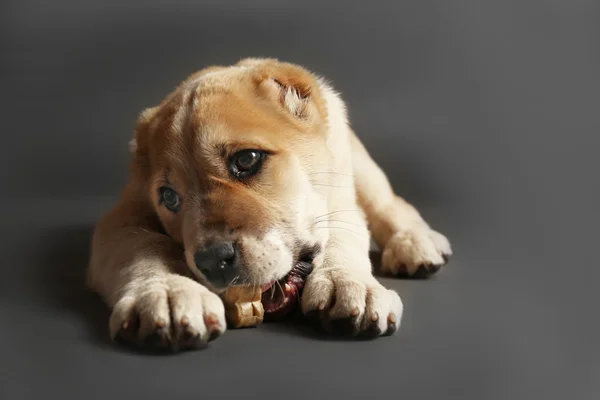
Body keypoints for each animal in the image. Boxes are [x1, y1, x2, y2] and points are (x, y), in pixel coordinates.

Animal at [86, 57, 452, 350]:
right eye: (169, 197)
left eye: (247, 160)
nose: (212, 261)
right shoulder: (121, 220)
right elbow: (144, 248)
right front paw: (166, 292)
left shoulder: (340, 199)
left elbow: (343, 235)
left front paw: (350, 284)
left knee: (390, 204)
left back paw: (415, 243)